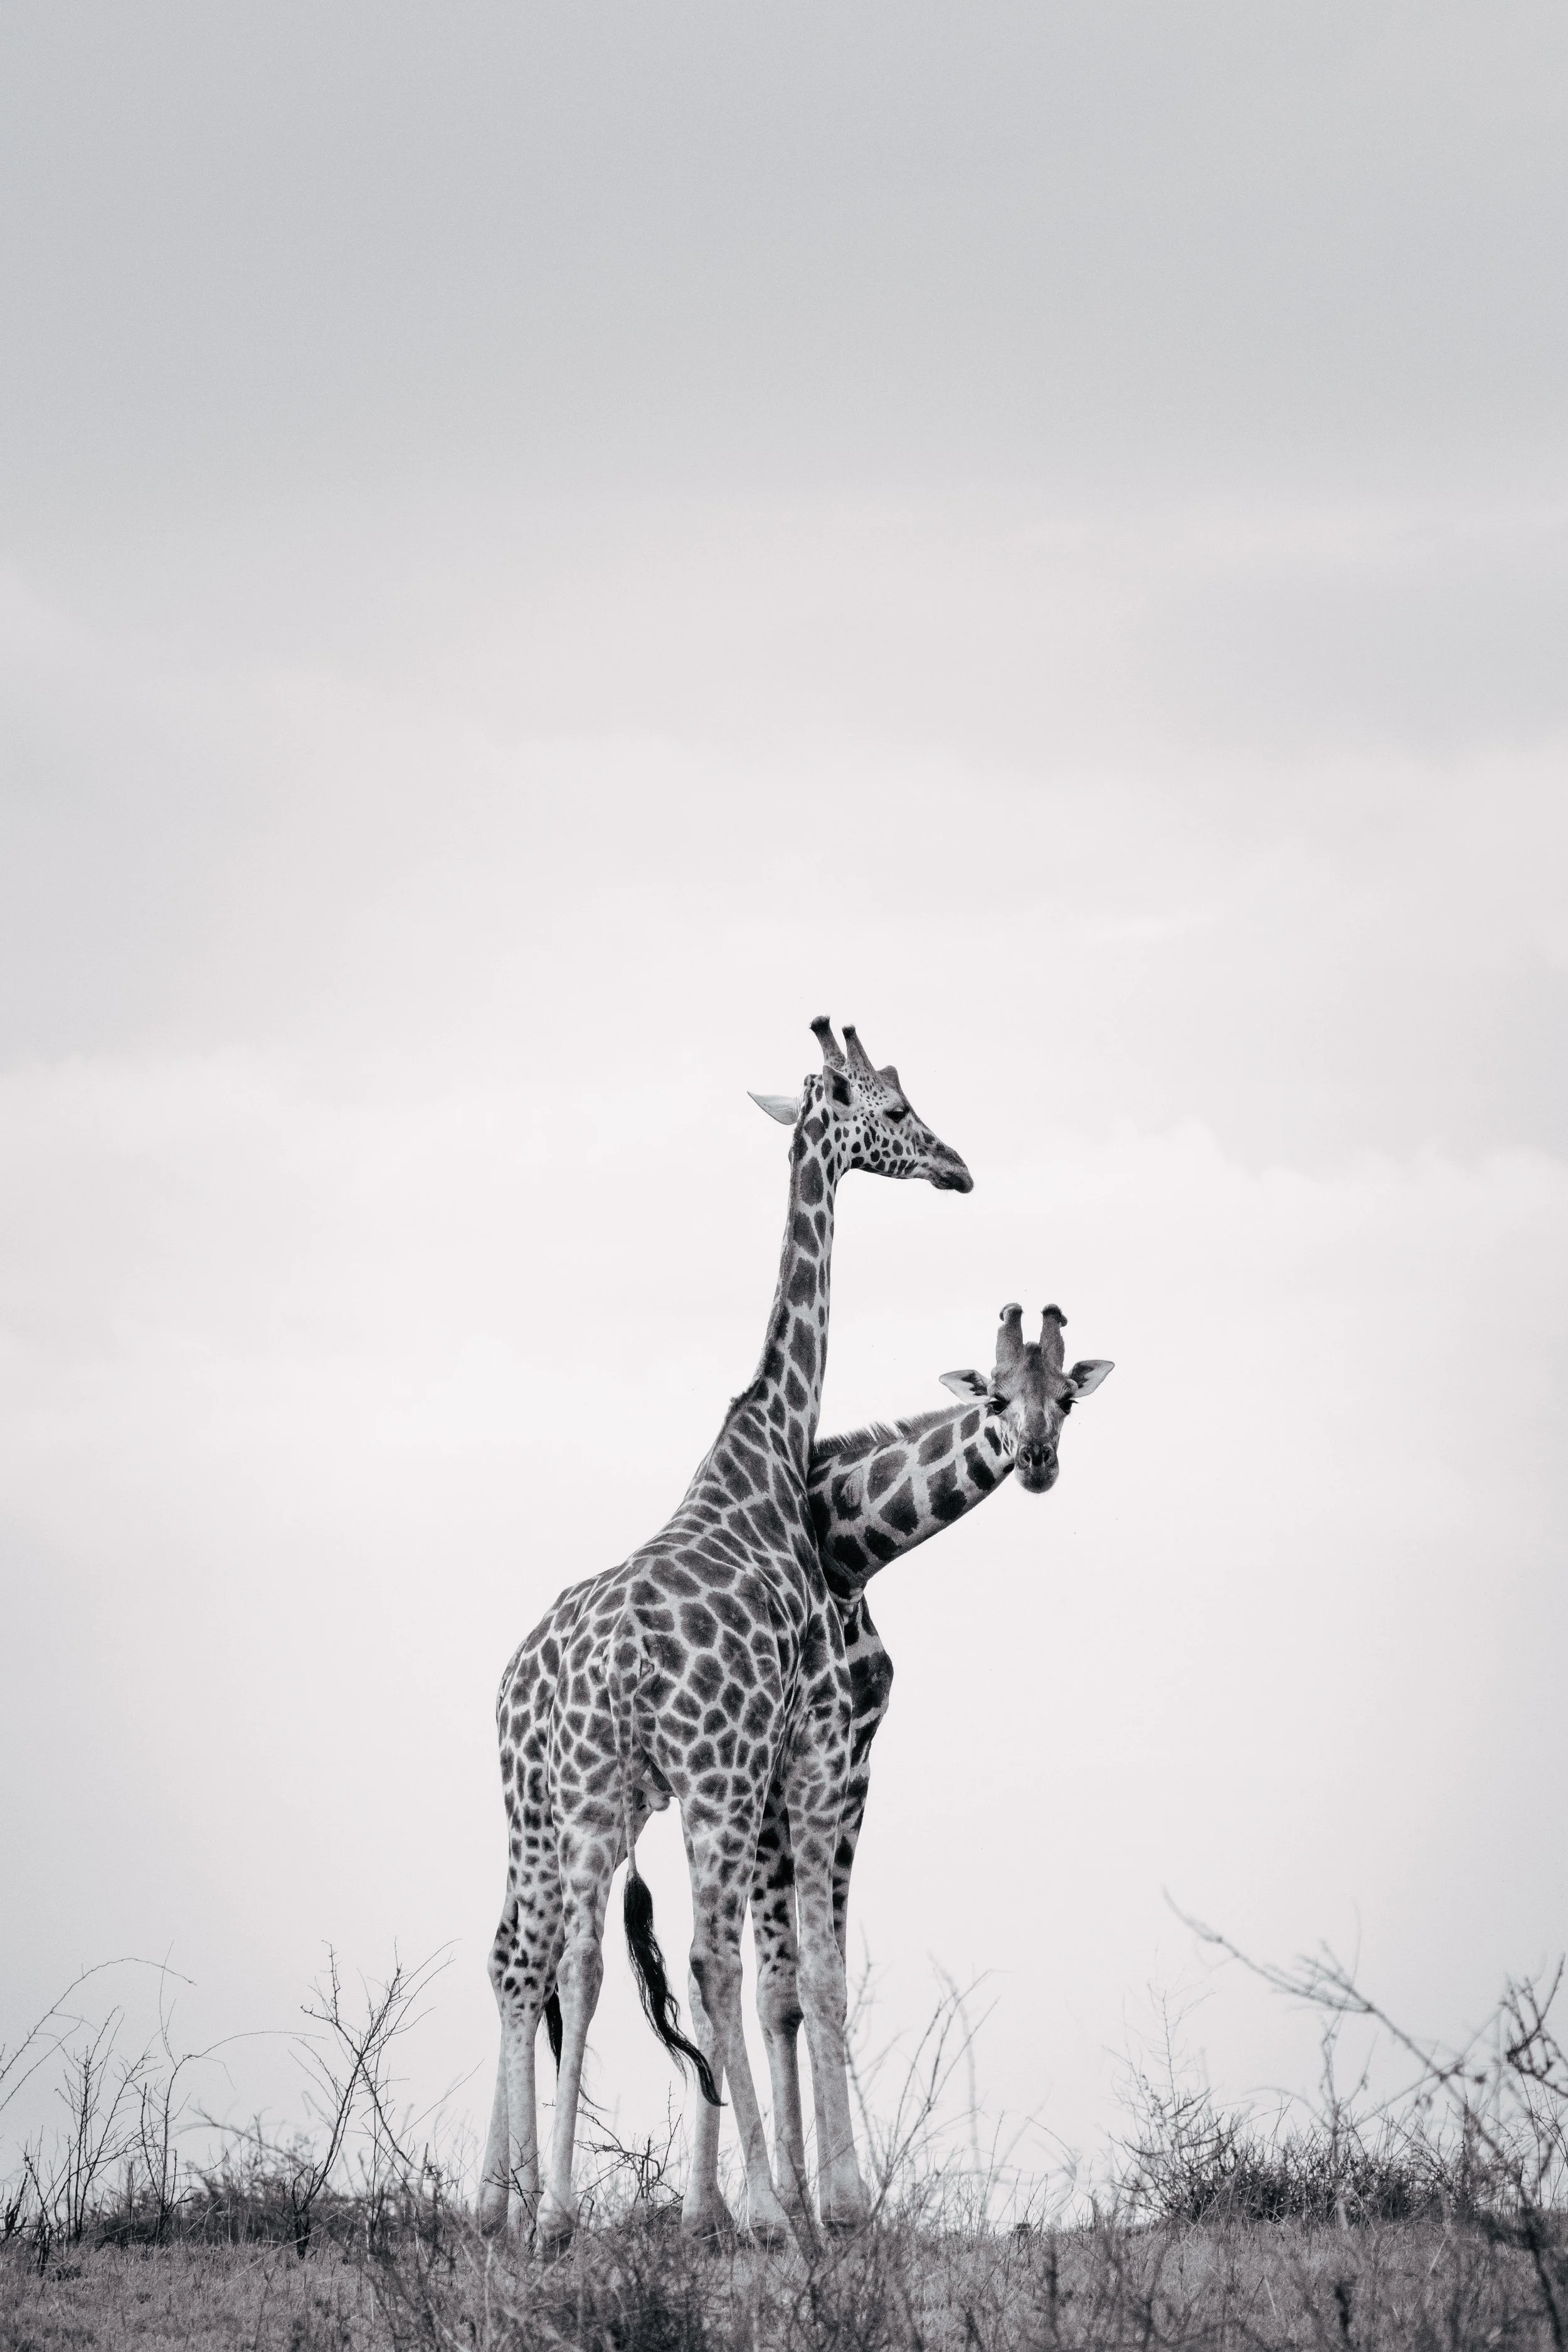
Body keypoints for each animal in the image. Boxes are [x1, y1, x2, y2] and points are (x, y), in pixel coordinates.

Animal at [479, 1017, 972, 2249]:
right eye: (895, 1111)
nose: (958, 1167)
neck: (768, 1447)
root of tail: (603, 1667)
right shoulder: (791, 1750)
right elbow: (778, 1968)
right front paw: (800, 2202)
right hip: (694, 1780)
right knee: (691, 1957)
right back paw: (750, 2214)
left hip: (585, 1799)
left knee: (561, 1960)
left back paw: (544, 2215)